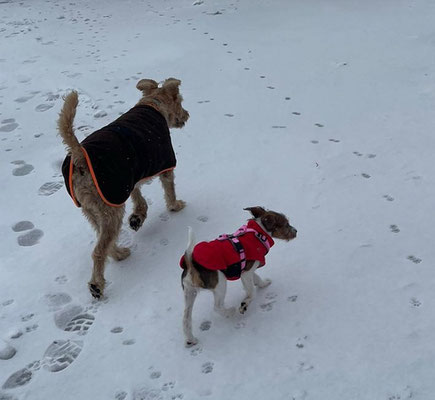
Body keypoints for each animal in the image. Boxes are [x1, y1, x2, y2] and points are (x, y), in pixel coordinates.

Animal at [57, 78, 189, 298]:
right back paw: (97, 284)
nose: (187, 115)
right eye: (180, 101)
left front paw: (137, 217)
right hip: (110, 210)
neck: (154, 104)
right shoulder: (165, 164)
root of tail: (79, 157)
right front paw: (175, 205)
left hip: (94, 208)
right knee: (99, 251)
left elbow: (138, 198)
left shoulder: (128, 179)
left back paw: (119, 254)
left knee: (105, 242)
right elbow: (169, 189)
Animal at [180, 208, 296, 346]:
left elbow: (257, 279)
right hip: (220, 283)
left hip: (189, 292)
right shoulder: (246, 272)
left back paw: (190, 339)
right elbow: (251, 292)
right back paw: (230, 311)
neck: (258, 233)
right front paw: (244, 304)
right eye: (286, 224)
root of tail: (191, 263)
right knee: (217, 307)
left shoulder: (247, 270)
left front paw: (263, 284)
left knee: (186, 318)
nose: (296, 231)